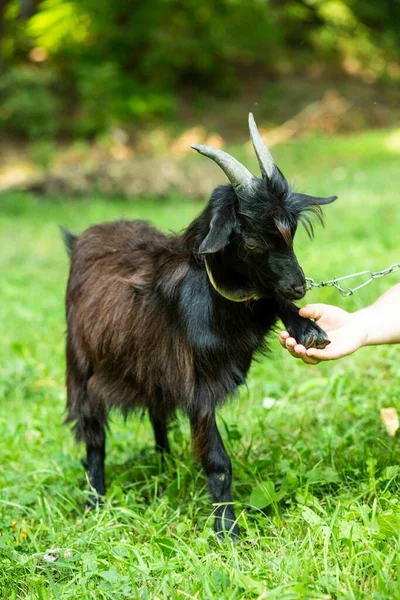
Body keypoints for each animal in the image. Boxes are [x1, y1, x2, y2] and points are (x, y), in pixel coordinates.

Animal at [63, 113, 338, 540]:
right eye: (253, 242)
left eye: (290, 231)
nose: (299, 286)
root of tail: (81, 239)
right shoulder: (197, 387)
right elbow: (218, 461)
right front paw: (227, 530)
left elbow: (272, 302)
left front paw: (308, 330)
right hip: (83, 368)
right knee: (94, 438)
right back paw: (95, 501)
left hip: (148, 368)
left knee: (157, 416)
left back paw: (164, 466)